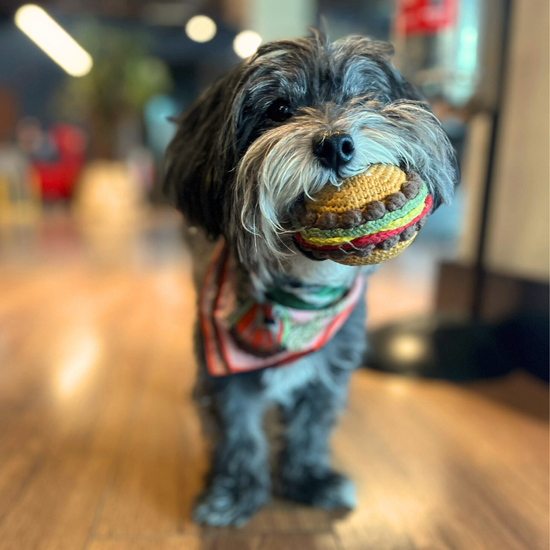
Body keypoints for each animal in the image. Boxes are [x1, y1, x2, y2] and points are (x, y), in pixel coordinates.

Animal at [164, 31, 458, 532]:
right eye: (279, 109)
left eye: (365, 97)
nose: (336, 143)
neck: (298, 295)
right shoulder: (225, 377)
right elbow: (237, 434)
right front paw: (235, 493)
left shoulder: (330, 367)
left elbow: (310, 426)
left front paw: (309, 480)